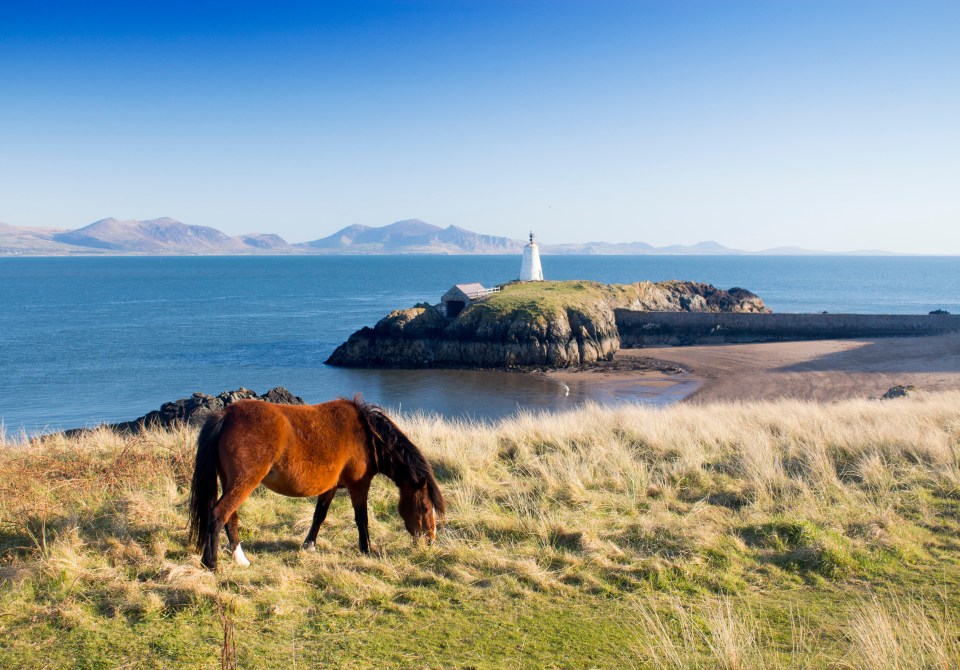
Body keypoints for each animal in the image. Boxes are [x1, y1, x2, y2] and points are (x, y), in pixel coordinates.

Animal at [188, 400, 446, 572]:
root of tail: (225, 415)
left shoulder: (329, 488)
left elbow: (319, 516)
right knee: (219, 514)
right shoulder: (359, 486)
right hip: (243, 482)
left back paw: (239, 558)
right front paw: (366, 549)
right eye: (425, 508)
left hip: (231, 482)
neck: (368, 436)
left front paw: (309, 545)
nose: (430, 539)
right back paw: (211, 564)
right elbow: (361, 518)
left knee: (230, 517)